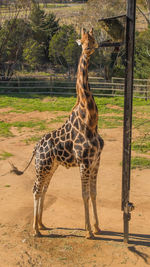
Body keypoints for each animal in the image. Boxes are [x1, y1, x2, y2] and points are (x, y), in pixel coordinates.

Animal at [11, 28, 104, 240]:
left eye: (93, 39)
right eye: (83, 41)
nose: (88, 49)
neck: (90, 120)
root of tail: (35, 147)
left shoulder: (96, 161)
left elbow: (94, 193)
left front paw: (97, 227)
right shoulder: (84, 162)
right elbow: (84, 194)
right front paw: (88, 231)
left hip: (50, 166)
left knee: (44, 189)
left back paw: (42, 224)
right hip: (42, 165)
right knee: (36, 189)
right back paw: (35, 230)